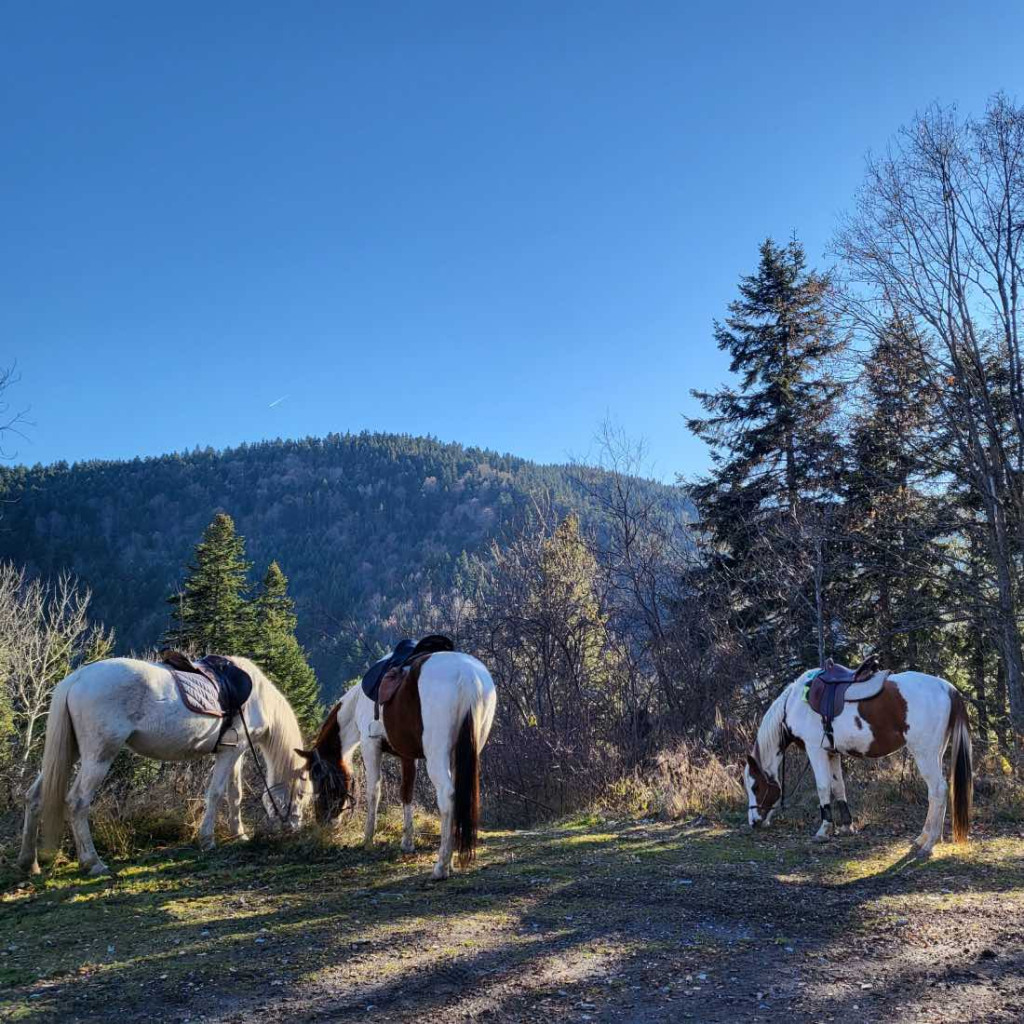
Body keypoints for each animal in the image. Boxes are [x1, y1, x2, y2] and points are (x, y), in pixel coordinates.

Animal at [17, 655, 311, 872]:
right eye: (302, 794)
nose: (295, 828)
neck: (256, 697)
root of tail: (76, 679)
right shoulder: (231, 752)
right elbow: (216, 794)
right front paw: (208, 840)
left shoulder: (234, 752)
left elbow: (234, 794)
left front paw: (240, 834)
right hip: (98, 755)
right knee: (77, 802)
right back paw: (93, 862)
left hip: (70, 751)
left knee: (34, 797)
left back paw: (29, 863)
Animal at [303, 647, 495, 880]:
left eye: (318, 779)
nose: (322, 821)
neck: (357, 703)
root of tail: (467, 675)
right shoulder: (407, 755)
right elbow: (406, 793)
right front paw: (407, 842)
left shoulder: (370, 745)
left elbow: (373, 792)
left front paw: (368, 839)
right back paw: (449, 861)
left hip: (436, 754)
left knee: (447, 795)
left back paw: (441, 866)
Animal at [741, 659, 970, 851]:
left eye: (755, 786)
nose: (753, 822)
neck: (795, 703)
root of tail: (947, 688)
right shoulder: (831, 752)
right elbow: (838, 787)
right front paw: (846, 827)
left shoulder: (815, 750)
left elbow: (823, 787)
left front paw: (824, 830)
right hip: (936, 752)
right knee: (937, 792)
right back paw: (926, 837)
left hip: (924, 753)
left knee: (938, 790)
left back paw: (929, 841)